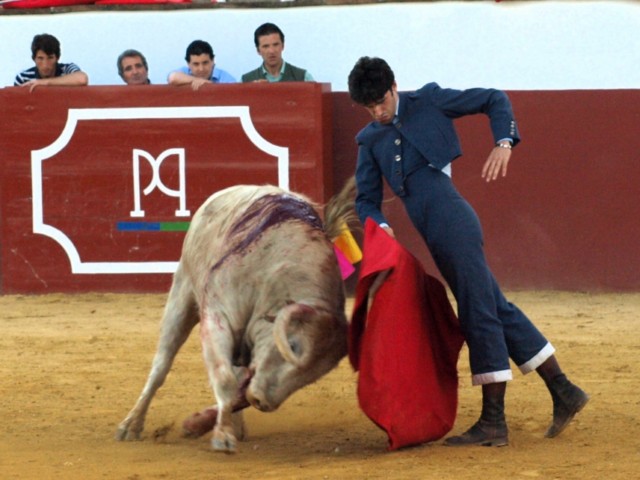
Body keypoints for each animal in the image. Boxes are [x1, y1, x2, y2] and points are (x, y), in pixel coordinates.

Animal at [115, 180, 356, 454]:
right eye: (293, 346)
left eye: (314, 375)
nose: (263, 401)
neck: (276, 277)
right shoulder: (217, 317)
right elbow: (225, 378)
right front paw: (222, 435)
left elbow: (239, 388)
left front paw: (206, 425)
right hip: (182, 293)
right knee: (161, 365)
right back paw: (131, 425)